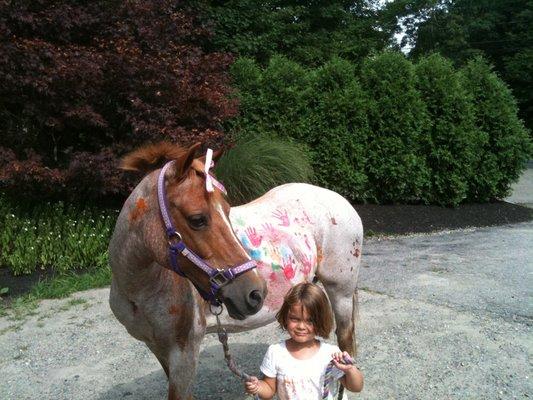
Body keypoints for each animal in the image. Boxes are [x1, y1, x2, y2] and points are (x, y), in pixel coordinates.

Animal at [108, 142, 362, 398]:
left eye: (227, 211)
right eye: (197, 219)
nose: (256, 292)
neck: (141, 290)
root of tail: (339, 199)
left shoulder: (184, 352)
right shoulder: (158, 348)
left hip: (340, 293)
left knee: (345, 345)